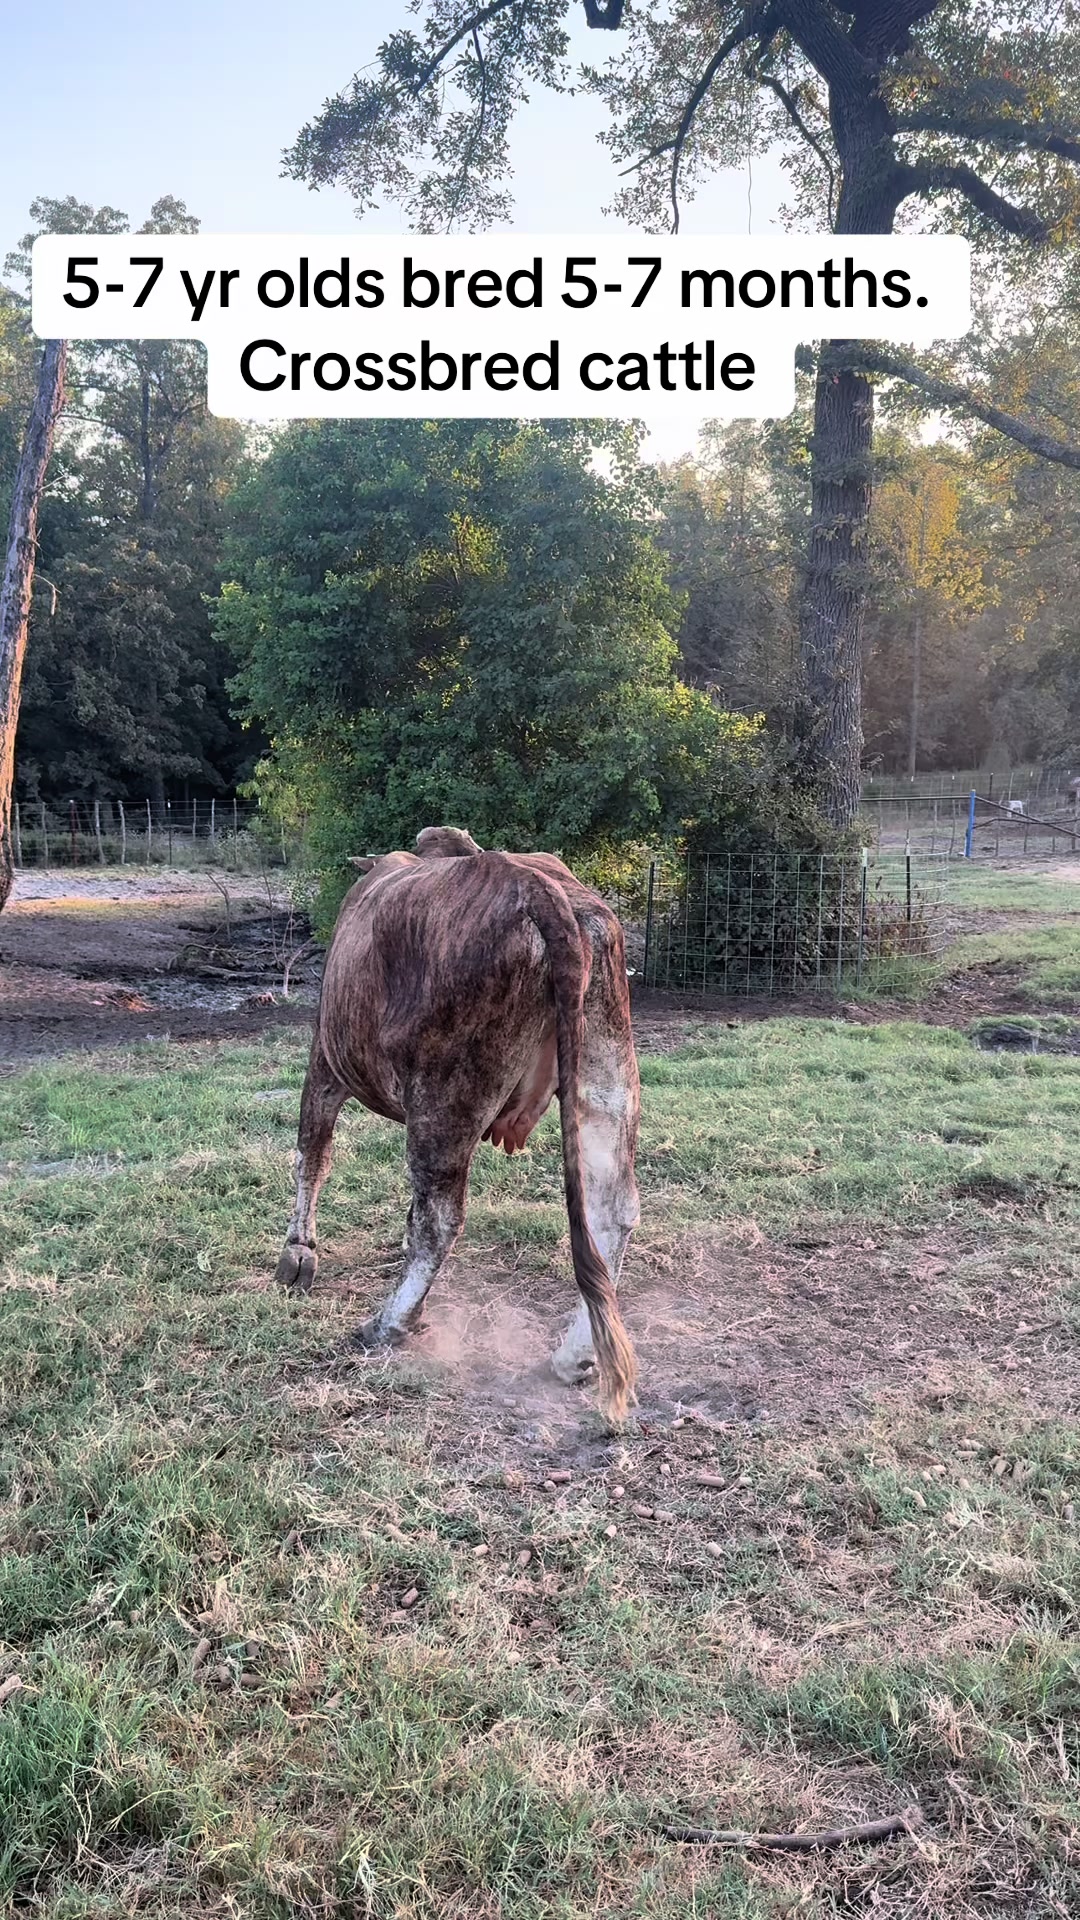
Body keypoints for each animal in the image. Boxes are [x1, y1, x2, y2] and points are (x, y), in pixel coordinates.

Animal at [273, 826, 640, 1423]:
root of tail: (539, 890)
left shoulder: (325, 1061)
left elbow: (313, 1152)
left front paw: (298, 1254)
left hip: (444, 1101)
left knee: (440, 1219)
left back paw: (388, 1324)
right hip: (607, 1080)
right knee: (614, 1210)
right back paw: (575, 1355)